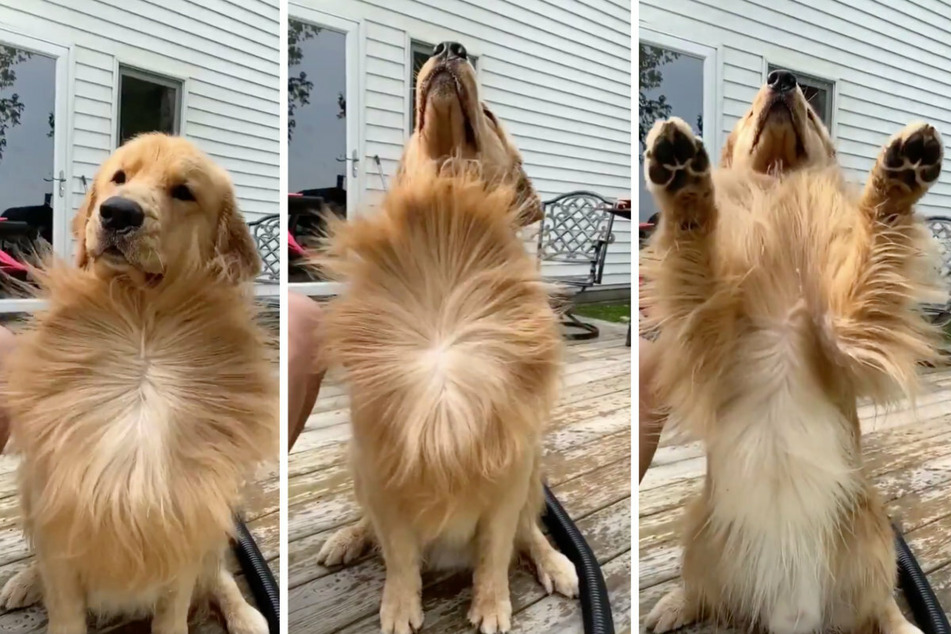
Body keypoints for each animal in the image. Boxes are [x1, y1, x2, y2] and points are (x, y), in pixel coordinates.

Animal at [0, 133, 276, 632]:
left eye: (184, 191)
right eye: (119, 177)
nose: (118, 213)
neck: (142, 311)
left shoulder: (183, 521)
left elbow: (175, 608)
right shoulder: (60, 513)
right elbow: (64, 603)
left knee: (218, 574)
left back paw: (246, 615)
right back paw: (23, 582)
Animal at [316, 164, 576, 632]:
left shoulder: (508, 481)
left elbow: (494, 554)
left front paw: (492, 607)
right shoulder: (383, 479)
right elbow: (400, 556)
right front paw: (400, 609)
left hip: (531, 473)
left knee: (529, 530)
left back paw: (557, 565)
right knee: (370, 523)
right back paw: (347, 539)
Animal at [644, 69, 940, 632]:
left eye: (812, 110)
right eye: (750, 107)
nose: (783, 78)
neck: (779, 189)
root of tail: (791, 612)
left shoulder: (845, 328)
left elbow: (878, 236)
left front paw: (898, 179)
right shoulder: (710, 321)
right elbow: (693, 244)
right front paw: (683, 181)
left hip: (875, 538)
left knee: (880, 603)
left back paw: (907, 625)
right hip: (700, 532)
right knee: (703, 592)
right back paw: (670, 605)